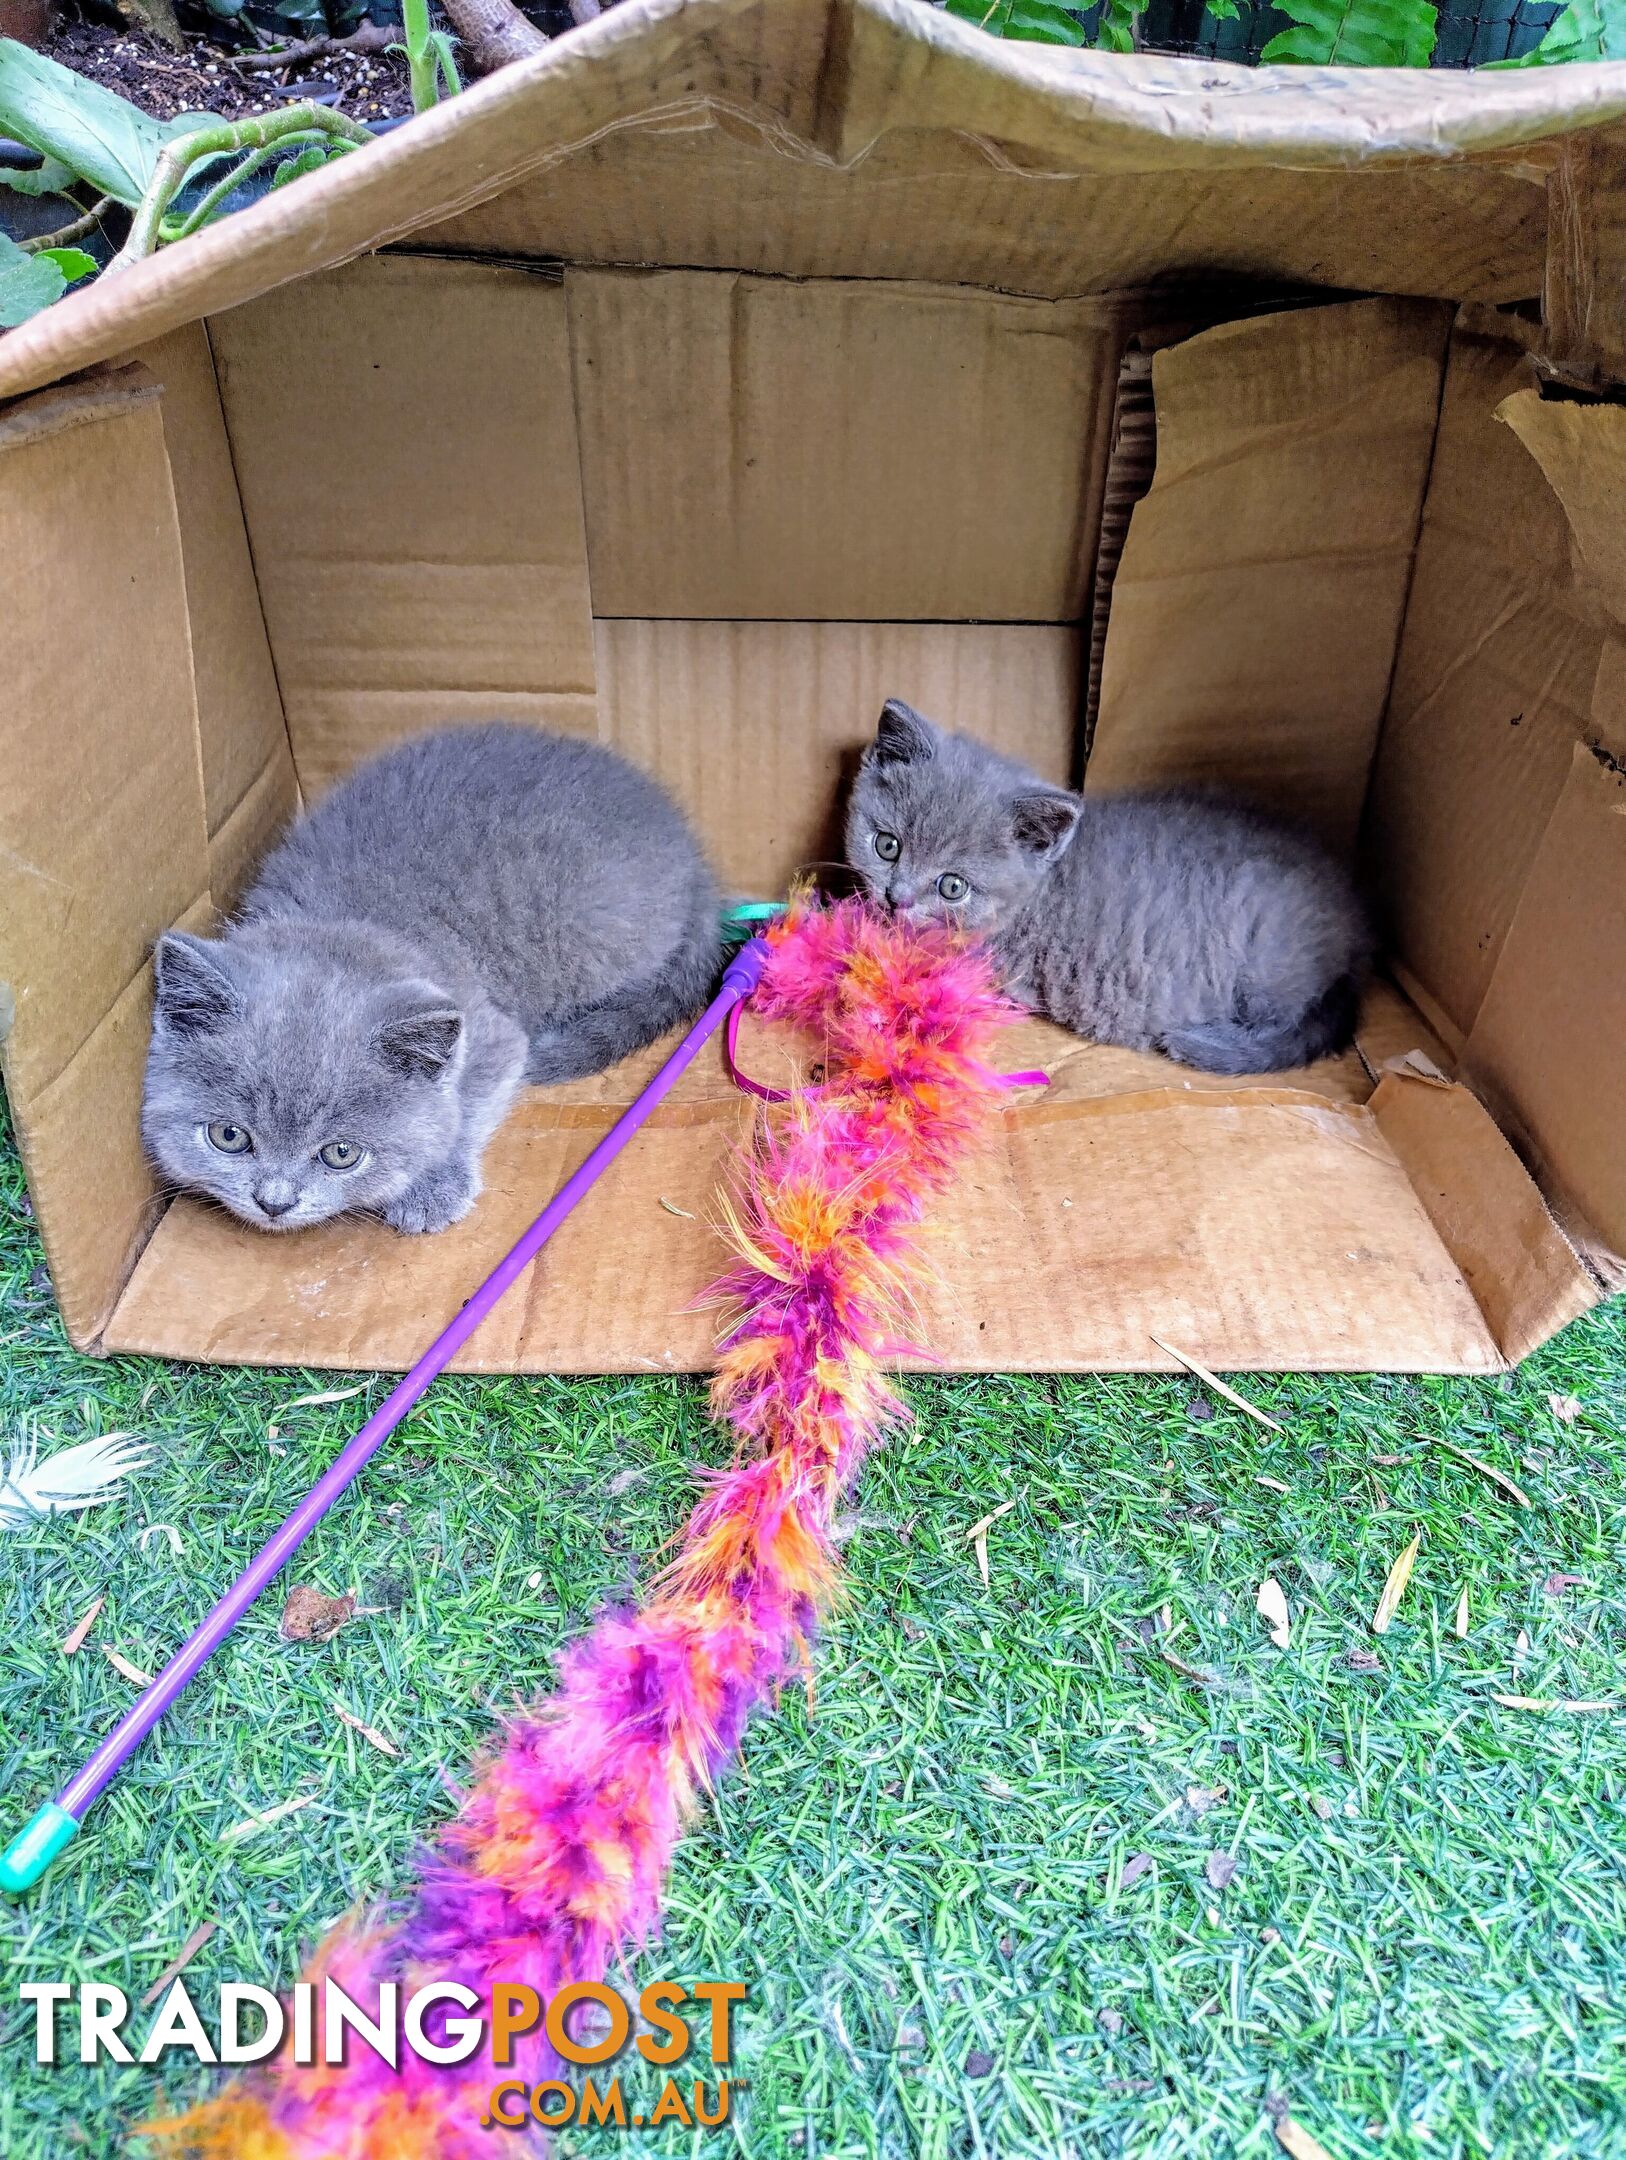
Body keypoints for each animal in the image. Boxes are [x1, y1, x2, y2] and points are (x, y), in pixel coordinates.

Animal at [142, 721, 721, 1235]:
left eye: (340, 1154)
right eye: (228, 1136)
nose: (274, 1203)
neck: (346, 926)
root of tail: (694, 855)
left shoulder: (495, 1036)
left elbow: (467, 1105)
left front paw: (433, 1184)